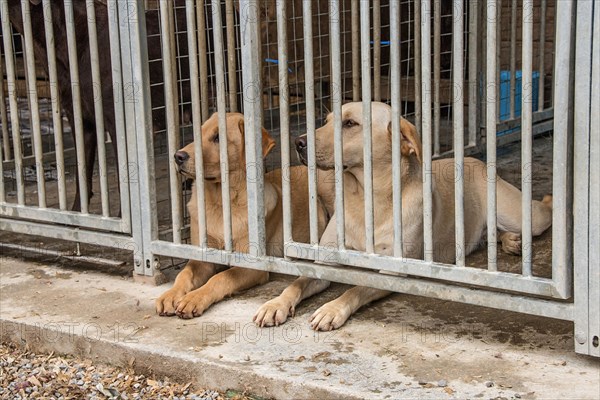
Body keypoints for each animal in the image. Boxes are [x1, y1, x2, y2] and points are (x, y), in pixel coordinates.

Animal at [155, 112, 332, 318]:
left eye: (218, 137)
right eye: (198, 133)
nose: (178, 156)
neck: (220, 203)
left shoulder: (251, 264)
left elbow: (220, 278)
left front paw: (194, 298)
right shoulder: (201, 255)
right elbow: (184, 274)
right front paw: (171, 294)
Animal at [254, 102, 552, 332]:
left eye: (350, 123)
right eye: (325, 121)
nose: (297, 142)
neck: (365, 200)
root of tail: (473, 159)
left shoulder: (391, 270)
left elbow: (355, 289)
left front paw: (332, 309)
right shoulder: (325, 261)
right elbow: (296, 282)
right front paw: (275, 304)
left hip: (523, 215)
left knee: (543, 210)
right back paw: (510, 240)